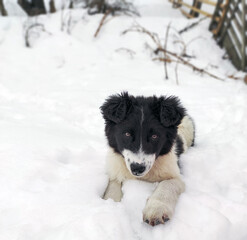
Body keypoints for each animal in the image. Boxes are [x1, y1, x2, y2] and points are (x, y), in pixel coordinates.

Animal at [100, 92, 195, 227]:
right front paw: (110, 205)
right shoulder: (115, 167)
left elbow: (167, 184)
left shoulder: (174, 173)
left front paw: (156, 210)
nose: (137, 168)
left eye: (154, 136)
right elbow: (113, 185)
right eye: (127, 134)